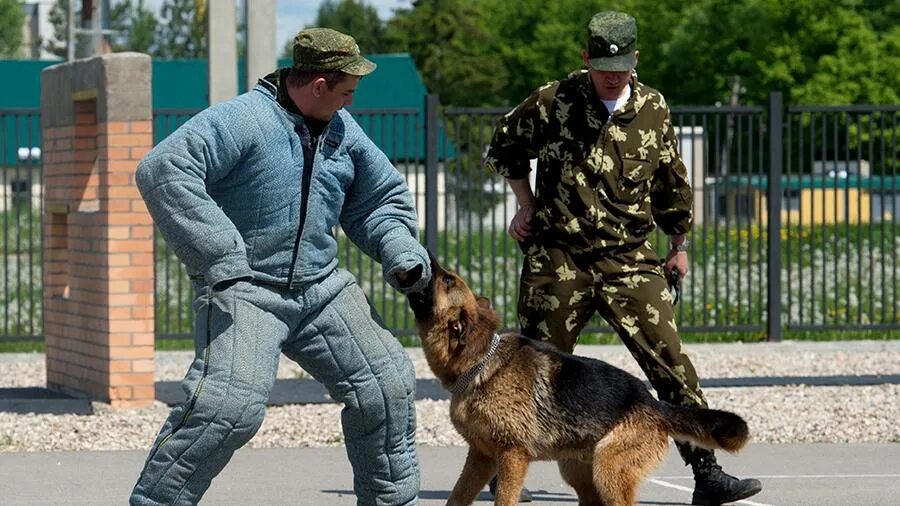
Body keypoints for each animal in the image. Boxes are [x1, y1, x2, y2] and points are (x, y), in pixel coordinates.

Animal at [406, 256, 744, 506]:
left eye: (448, 280)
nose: (425, 256)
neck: (481, 365)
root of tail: (653, 403)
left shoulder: (513, 457)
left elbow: (503, 499)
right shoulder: (481, 457)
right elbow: (456, 497)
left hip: (608, 471)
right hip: (578, 472)